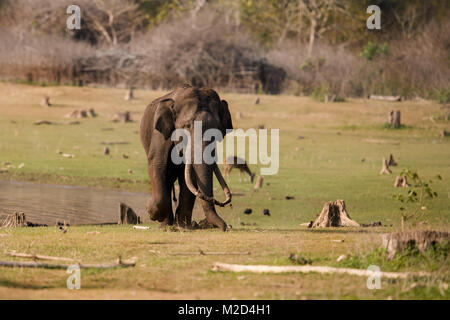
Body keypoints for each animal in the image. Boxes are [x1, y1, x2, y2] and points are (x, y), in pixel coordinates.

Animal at [140, 84, 232, 231]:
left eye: (217, 129)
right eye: (187, 126)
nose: (225, 227)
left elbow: (190, 176)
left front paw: (184, 227)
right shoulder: (160, 134)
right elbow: (157, 164)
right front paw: (150, 211)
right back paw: (165, 225)